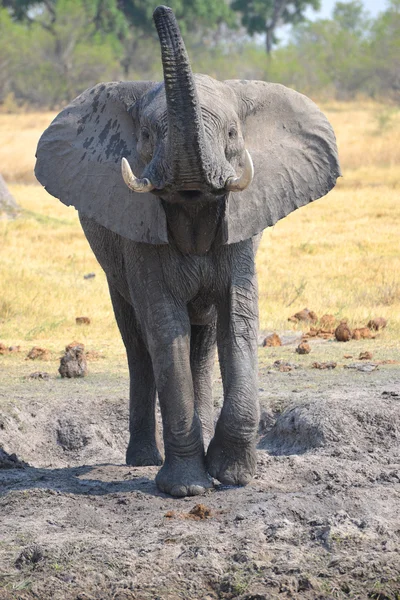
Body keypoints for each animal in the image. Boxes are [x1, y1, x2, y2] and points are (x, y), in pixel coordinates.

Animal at [35, 4, 340, 496]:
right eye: (145, 137)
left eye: (233, 134)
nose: (161, 10)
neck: (193, 202)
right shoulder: (139, 233)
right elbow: (164, 324)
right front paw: (186, 489)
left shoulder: (240, 229)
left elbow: (238, 318)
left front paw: (232, 477)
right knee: (138, 344)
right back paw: (143, 459)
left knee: (202, 343)